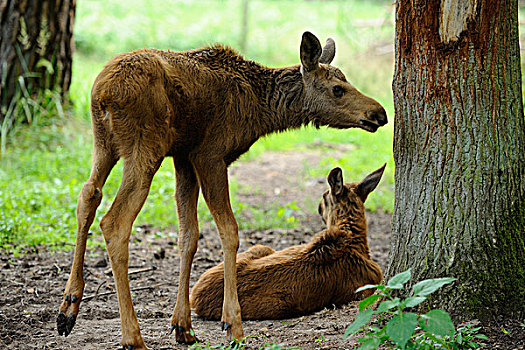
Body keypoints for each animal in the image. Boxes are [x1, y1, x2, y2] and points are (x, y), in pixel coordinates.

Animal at [190, 165, 382, 322]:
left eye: (323, 197)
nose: (319, 208)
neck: (355, 239)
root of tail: (195, 298)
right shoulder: (365, 288)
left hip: (260, 248)